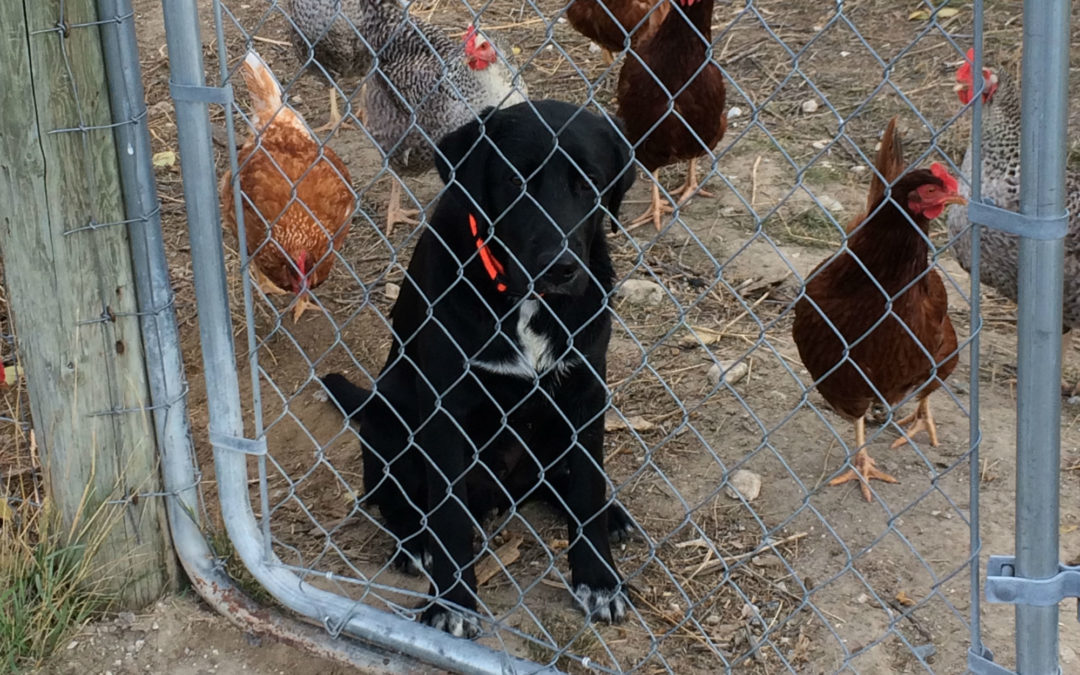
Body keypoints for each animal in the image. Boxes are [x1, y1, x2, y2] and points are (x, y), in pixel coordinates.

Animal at [324, 97, 635, 635]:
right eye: (514, 179)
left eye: (589, 182)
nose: (559, 268)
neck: (525, 305)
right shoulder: (446, 410)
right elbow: (448, 515)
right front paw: (452, 602)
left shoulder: (587, 391)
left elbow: (588, 483)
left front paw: (598, 578)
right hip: (390, 416)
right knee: (393, 499)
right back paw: (416, 544)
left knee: (559, 483)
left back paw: (607, 514)